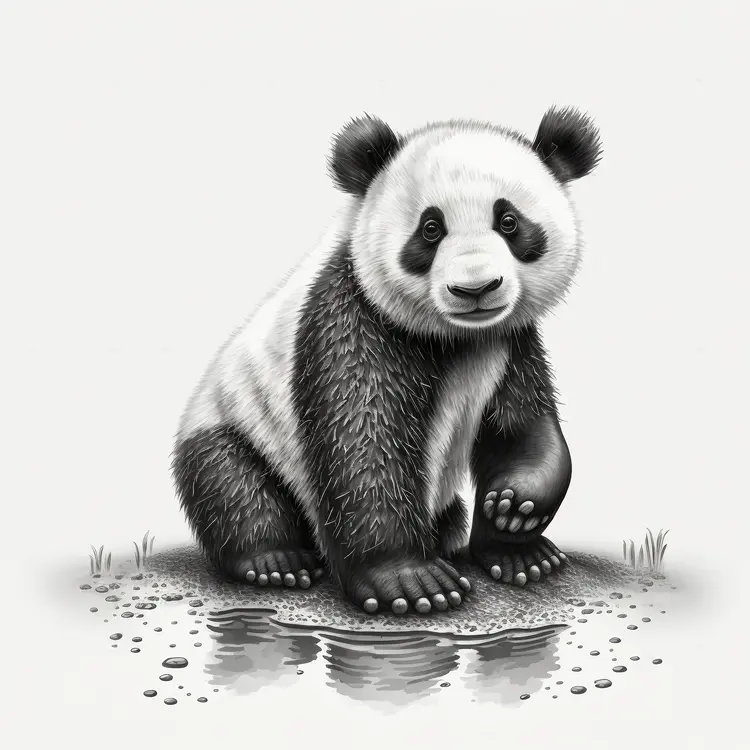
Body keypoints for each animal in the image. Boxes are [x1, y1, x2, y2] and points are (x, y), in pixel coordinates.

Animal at [172, 106, 602, 615]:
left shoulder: (508, 342)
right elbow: (364, 441)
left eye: (510, 221)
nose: (475, 288)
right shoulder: (353, 318)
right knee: (233, 484)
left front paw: (517, 525)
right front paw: (411, 582)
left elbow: (522, 427)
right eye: (431, 229)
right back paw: (275, 561)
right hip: (235, 424)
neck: (455, 338)